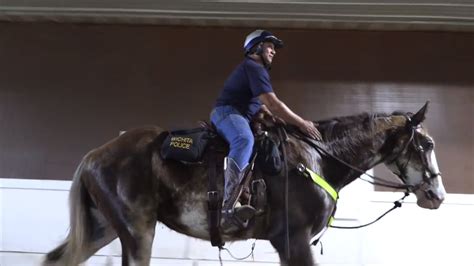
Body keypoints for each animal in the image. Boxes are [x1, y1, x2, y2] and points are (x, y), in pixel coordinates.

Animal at [43, 101, 444, 264]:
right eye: (426, 144)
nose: (436, 194)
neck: (318, 158)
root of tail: (94, 155)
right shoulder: (293, 240)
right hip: (137, 231)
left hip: (104, 228)